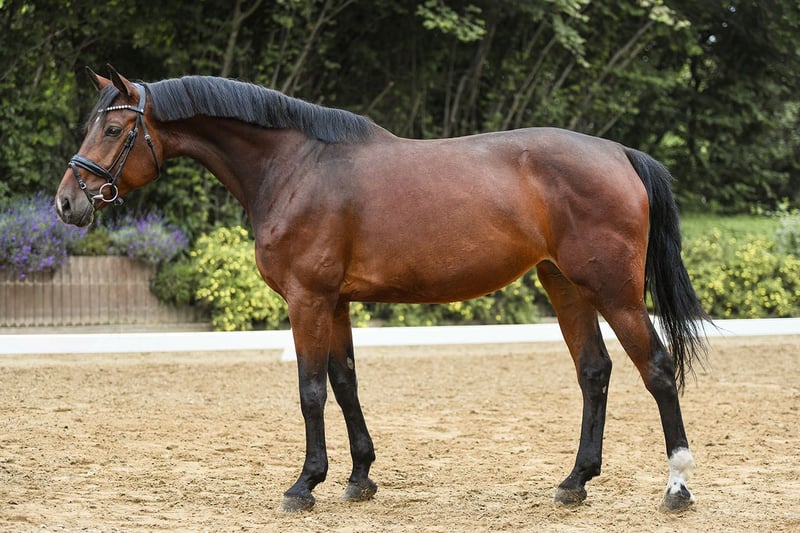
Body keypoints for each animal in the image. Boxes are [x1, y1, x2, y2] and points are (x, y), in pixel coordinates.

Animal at [55, 66, 709, 513]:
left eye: (113, 128)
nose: (67, 203)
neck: (297, 167)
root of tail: (618, 153)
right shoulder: (336, 302)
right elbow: (345, 383)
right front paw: (358, 477)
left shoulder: (307, 300)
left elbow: (311, 390)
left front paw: (305, 484)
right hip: (565, 285)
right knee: (594, 372)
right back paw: (575, 481)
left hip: (614, 291)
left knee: (656, 368)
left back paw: (677, 485)